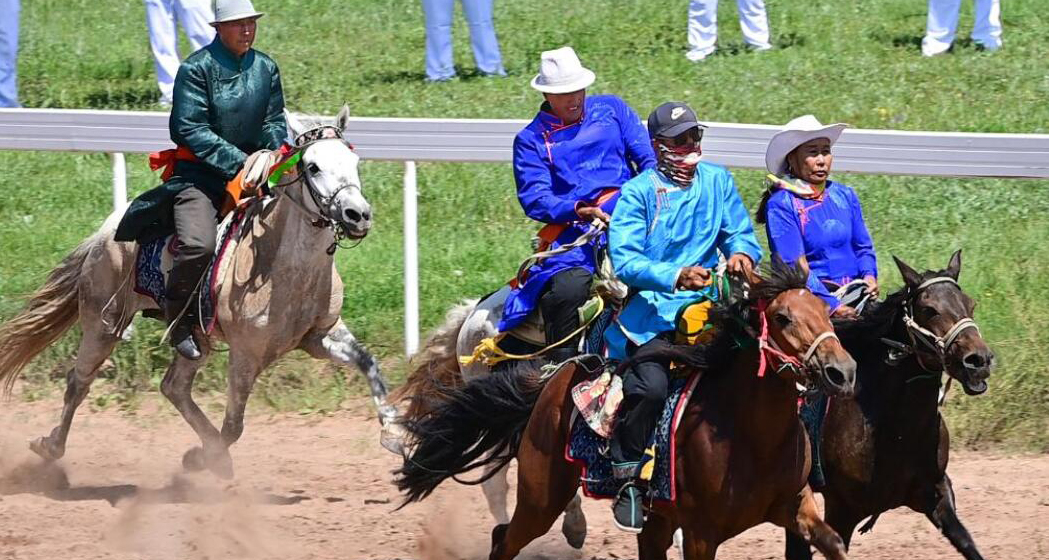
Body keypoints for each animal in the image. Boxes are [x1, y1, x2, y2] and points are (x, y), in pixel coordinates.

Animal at [0, 107, 400, 480]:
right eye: (313, 166)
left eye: (355, 162)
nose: (358, 214)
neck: (286, 269)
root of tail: (103, 233)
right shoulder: (246, 355)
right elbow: (234, 425)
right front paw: (199, 458)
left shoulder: (320, 336)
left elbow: (370, 364)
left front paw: (393, 433)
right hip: (104, 324)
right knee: (79, 382)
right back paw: (50, 445)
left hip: (196, 337)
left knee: (173, 386)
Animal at [394, 264, 860, 560]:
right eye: (783, 317)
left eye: (826, 312)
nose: (843, 371)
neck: (749, 436)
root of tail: (556, 376)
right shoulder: (701, 534)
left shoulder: (794, 507)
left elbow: (835, 544)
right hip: (541, 496)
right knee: (503, 533)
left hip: (649, 521)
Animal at [788, 251, 998, 560]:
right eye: (929, 309)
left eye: (970, 304)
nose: (979, 360)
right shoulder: (842, 510)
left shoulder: (936, 493)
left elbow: (966, 542)